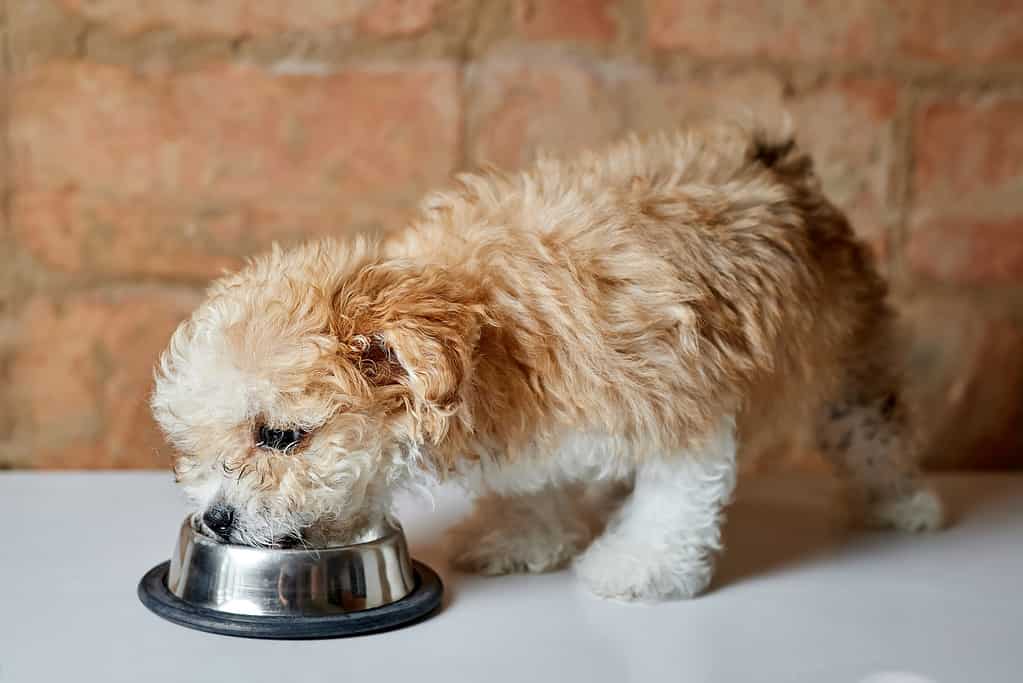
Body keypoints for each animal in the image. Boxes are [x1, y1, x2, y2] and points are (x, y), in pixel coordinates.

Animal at [151, 118, 941, 601]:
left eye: (281, 436)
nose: (216, 519)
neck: (490, 332)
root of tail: (778, 166)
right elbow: (534, 484)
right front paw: (528, 536)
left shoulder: (678, 397)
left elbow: (677, 496)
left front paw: (639, 566)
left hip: (847, 355)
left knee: (873, 428)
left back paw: (902, 501)